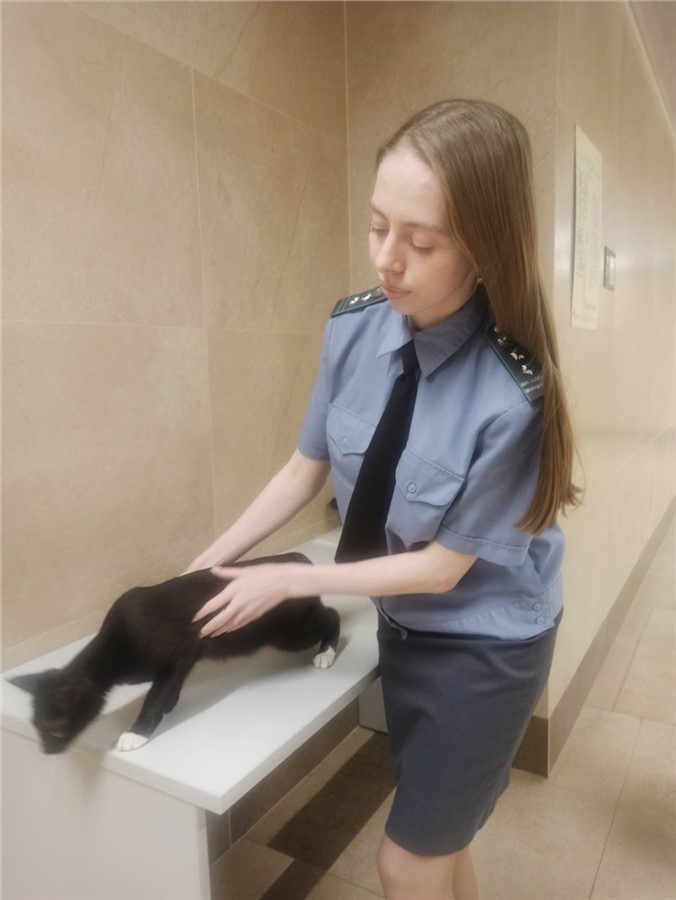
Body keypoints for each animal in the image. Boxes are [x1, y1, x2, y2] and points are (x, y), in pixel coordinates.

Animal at [9, 552, 340, 754]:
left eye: (55, 730)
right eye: (37, 727)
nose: (45, 751)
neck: (113, 650)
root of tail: (298, 559)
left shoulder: (183, 652)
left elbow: (156, 693)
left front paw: (138, 731)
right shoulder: (179, 661)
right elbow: (168, 688)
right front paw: (170, 703)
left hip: (289, 632)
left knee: (331, 615)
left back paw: (327, 652)